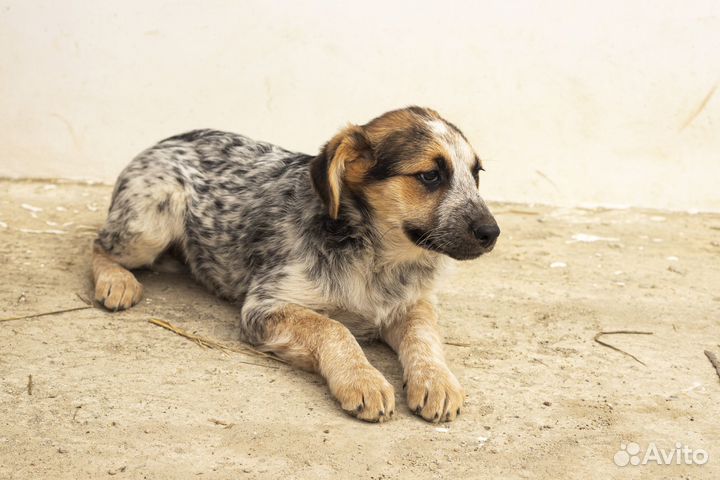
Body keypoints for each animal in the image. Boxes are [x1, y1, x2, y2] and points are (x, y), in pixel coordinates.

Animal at [93, 107, 500, 422]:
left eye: (476, 174)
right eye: (430, 175)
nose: (492, 232)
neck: (376, 259)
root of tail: (166, 139)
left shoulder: (413, 303)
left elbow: (424, 336)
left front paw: (436, 380)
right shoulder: (265, 306)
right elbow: (333, 328)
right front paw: (363, 379)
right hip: (152, 219)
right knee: (98, 243)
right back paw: (116, 282)